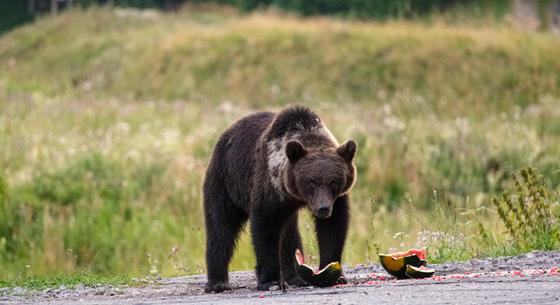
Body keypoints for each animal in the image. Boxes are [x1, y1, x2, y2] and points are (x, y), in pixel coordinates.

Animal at [203, 105, 356, 292]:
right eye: (311, 181)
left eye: (334, 181)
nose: (323, 208)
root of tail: (225, 134)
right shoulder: (271, 186)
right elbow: (265, 226)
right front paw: (271, 281)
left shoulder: (336, 199)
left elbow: (333, 228)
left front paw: (334, 273)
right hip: (225, 182)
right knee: (221, 227)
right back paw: (218, 283)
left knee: (289, 235)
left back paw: (296, 277)